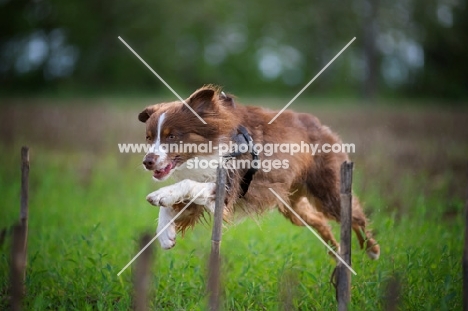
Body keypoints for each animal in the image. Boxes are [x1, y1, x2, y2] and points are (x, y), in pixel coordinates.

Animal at [139, 85, 380, 260]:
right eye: (149, 138)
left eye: (172, 136)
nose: (147, 162)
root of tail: (321, 125)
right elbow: (174, 204)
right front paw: (165, 234)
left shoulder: (227, 185)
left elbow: (185, 185)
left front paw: (160, 195)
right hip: (292, 205)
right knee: (319, 220)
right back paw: (335, 252)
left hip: (328, 191)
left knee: (354, 215)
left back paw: (371, 249)